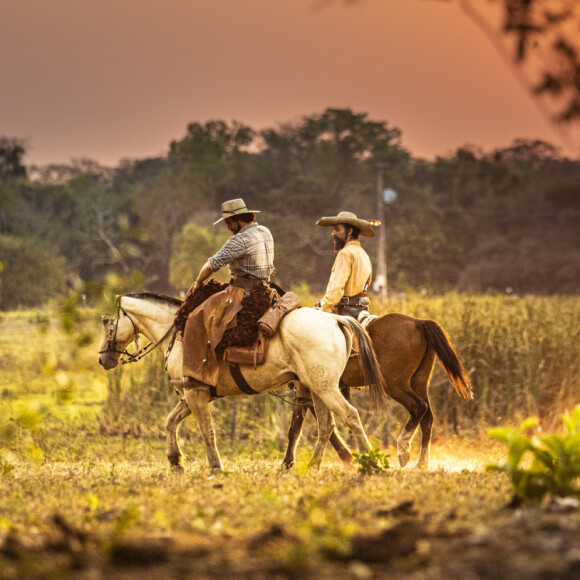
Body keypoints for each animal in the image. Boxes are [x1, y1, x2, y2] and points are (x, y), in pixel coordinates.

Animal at [98, 292, 386, 468]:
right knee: (327, 426)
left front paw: (215, 466)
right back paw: (314, 466)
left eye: (107, 323)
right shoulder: (193, 395)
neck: (178, 332)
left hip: (326, 389)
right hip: (317, 389)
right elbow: (170, 422)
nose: (103, 359)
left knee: (350, 416)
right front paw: (175, 459)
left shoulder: (195, 395)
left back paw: (370, 462)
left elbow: (207, 432)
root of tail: (336, 318)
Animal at [284, 312, 474, 466]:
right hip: (419, 382)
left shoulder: (312, 392)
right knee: (427, 417)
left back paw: (403, 449)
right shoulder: (312, 393)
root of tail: (418, 323)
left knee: (418, 407)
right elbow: (298, 427)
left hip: (395, 385)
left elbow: (306, 427)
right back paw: (421, 463)